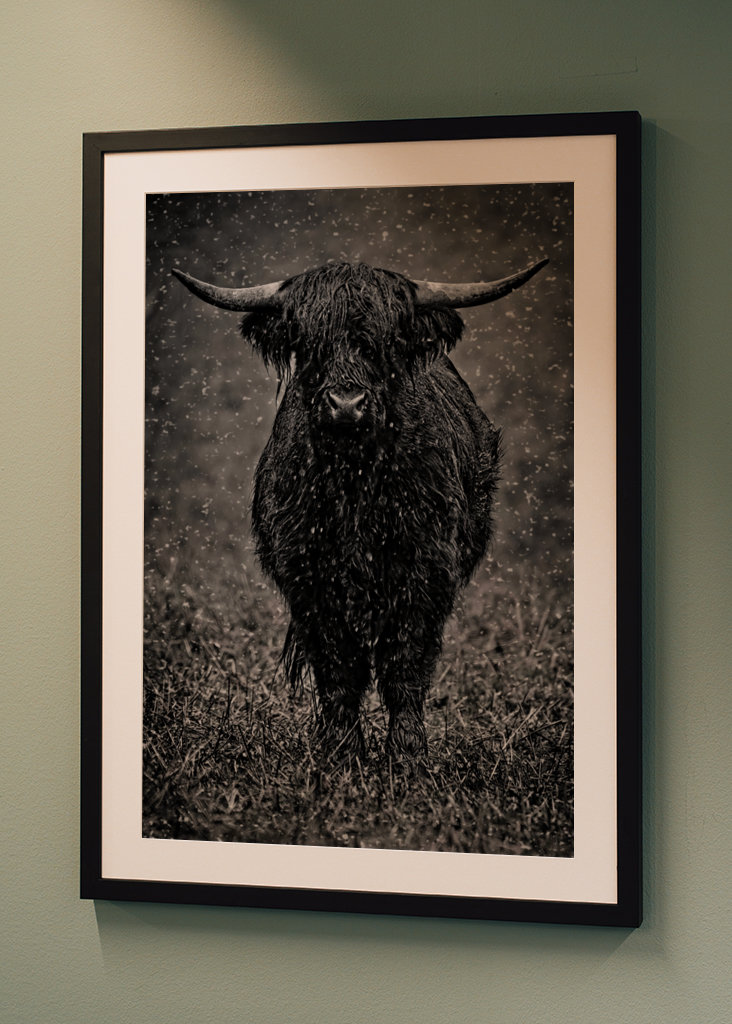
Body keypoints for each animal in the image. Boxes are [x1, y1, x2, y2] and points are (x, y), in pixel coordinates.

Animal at [172, 256, 548, 764]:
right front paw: (341, 751)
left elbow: (404, 662)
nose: (346, 404)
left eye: (385, 344)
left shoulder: (425, 570)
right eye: (308, 343)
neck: (355, 484)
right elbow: (338, 668)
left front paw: (407, 754)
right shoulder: (309, 576)